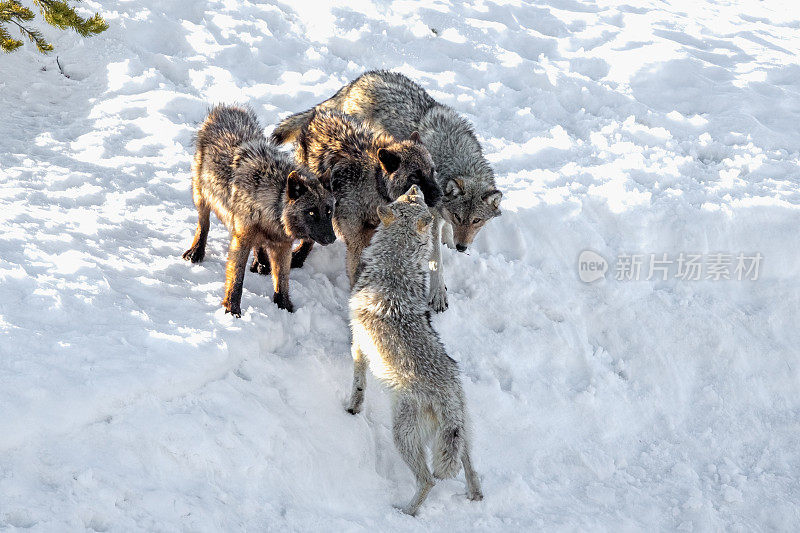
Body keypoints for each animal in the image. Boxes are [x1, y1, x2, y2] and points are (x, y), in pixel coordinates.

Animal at [183, 104, 336, 316]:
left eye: (329, 211)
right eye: (311, 212)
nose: (332, 238)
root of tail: (226, 108)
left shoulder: (283, 246)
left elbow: (282, 279)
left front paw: (284, 307)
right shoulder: (241, 239)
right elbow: (237, 278)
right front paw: (232, 310)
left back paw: (261, 261)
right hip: (201, 196)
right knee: (203, 224)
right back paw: (196, 251)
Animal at [272, 70, 504, 312]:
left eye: (477, 221)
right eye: (415, 177)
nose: (461, 247)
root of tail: (358, 80)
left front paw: (449, 245)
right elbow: (435, 261)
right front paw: (438, 293)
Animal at [346, 184, 482, 516]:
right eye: (409, 199)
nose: (416, 186)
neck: (393, 270)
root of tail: (449, 395)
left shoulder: (359, 343)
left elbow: (358, 382)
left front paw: (352, 407)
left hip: (402, 436)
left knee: (429, 480)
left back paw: (406, 512)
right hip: (461, 436)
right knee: (471, 468)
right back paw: (475, 497)